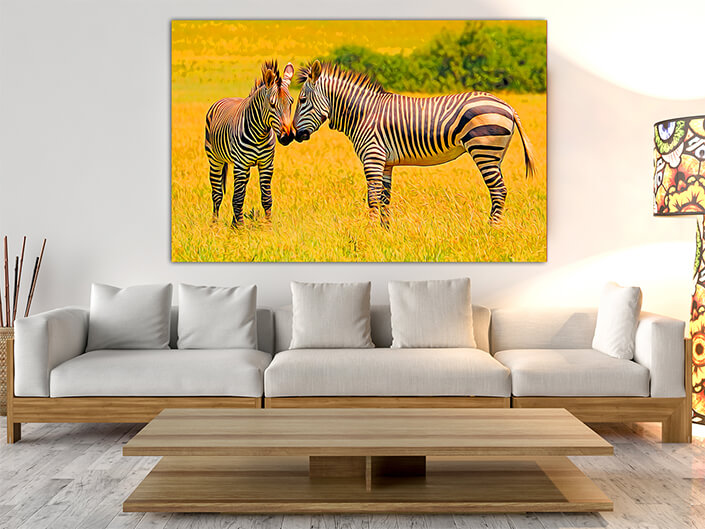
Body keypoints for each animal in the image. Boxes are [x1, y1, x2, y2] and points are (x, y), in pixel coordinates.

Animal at [205, 60, 294, 227]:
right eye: (272, 104)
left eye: (291, 102)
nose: (288, 137)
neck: (259, 134)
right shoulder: (240, 165)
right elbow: (238, 198)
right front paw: (240, 228)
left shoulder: (266, 164)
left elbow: (266, 198)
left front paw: (267, 226)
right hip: (215, 159)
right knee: (217, 193)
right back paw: (214, 224)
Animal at [292, 60, 536, 228]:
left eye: (302, 100)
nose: (293, 135)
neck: (363, 114)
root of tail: (506, 105)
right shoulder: (386, 163)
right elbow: (385, 197)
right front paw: (385, 231)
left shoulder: (373, 157)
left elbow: (372, 197)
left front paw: (369, 231)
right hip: (496, 155)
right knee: (499, 190)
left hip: (484, 150)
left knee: (499, 190)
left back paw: (491, 229)